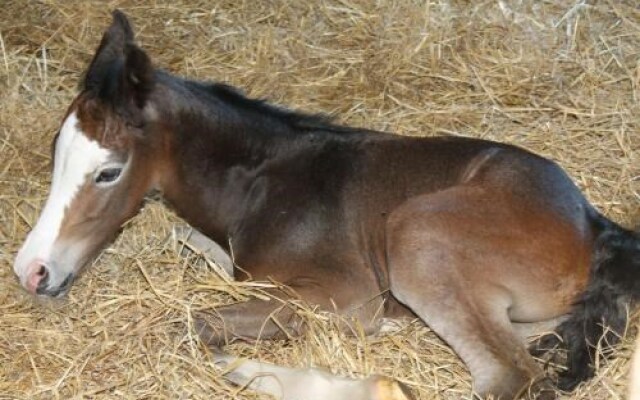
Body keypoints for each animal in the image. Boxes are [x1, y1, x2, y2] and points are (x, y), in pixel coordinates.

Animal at [12, 10, 640, 398]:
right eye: (55, 153)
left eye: (108, 171)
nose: (31, 270)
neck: (261, 184)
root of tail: (592, 223)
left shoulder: (343, 295)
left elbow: (189, 323)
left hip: (417, 233)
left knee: (506, 378)